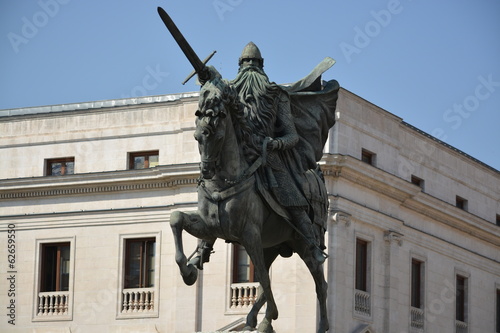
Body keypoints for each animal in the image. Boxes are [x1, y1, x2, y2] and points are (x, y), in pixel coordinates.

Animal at [170, 74, 330, 330]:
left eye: (217, 135)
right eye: (197, 137)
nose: (205, 171)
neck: (223, 182)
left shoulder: (250, 234)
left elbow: (263, 277)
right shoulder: (210, 227)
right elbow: (176, 218)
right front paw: (188, 271)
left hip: (303, 244)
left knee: (319, 282)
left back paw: (321, 325)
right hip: (272, 246)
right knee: (266, 284)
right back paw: (257, 319)